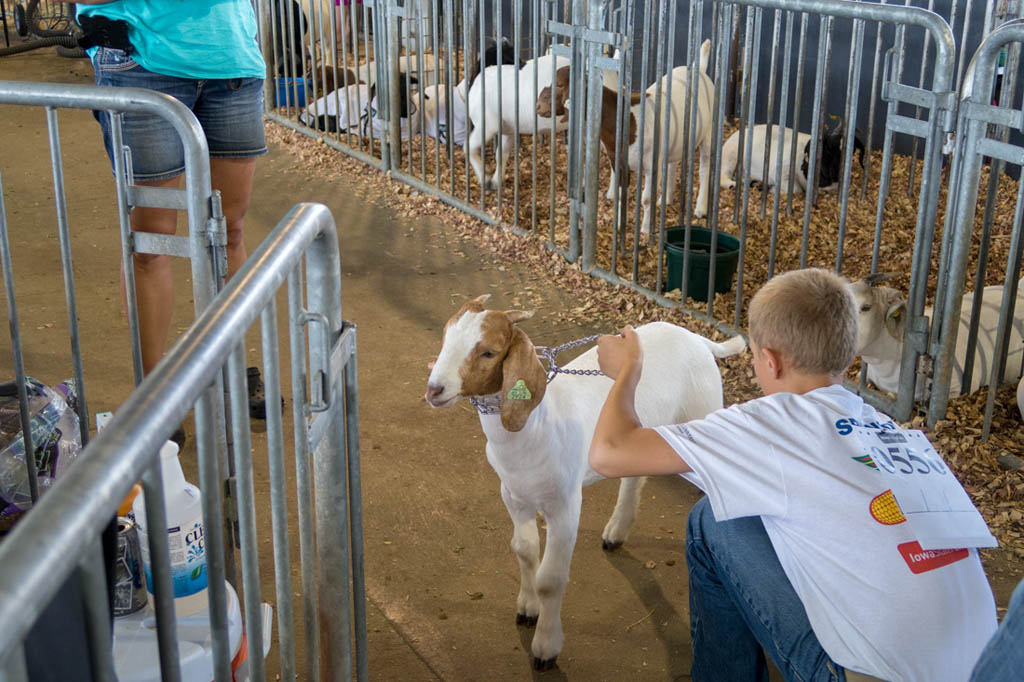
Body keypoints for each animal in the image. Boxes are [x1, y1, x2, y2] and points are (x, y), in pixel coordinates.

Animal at [421, 294, 745, 667]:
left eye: (488, 352)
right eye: (446, 337)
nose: (434, 389)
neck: (536, 425)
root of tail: (699, 340)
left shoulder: (565, 505)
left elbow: (551, 579)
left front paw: (546, 647)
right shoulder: (513, 495)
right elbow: (524, 550)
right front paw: (527, 608)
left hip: (700, 415)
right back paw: (616, 532)